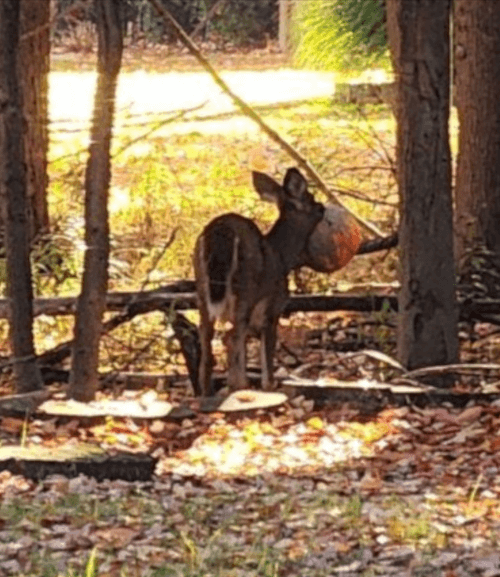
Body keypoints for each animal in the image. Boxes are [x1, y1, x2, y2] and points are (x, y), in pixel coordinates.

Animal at [191, 164, 324, 394]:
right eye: (311, 198)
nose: (323, 207)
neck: (282, 257)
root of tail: (220, 230)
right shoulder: (273, 305)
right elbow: (266, 345)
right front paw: (269, 384)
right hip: (246, 286)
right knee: (234, 335)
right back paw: (239, 386)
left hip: (201, 289)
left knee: (207, 339)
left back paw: (208, 392)